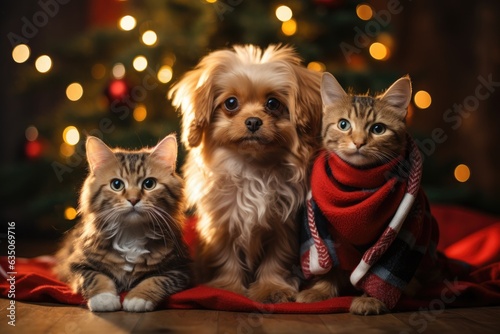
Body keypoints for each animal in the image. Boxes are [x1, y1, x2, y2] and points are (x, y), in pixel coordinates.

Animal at [54, 134, 191, 312]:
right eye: (116, 185)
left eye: (149, 184)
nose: (133, 199)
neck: (131, 234)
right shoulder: (75, 265)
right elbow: (95, 277)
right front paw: (104, 299)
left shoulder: (181, 269)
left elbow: (155, 280)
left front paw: (137, 298)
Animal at [170, 44, 322, 302]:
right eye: (230, 103)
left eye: (272, 103)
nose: (253, 121)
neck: (252, 168)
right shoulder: (221, 224)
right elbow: (226, 258)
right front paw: (227, 289)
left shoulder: (283, 227)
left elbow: (276, 260)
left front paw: (272, 289)